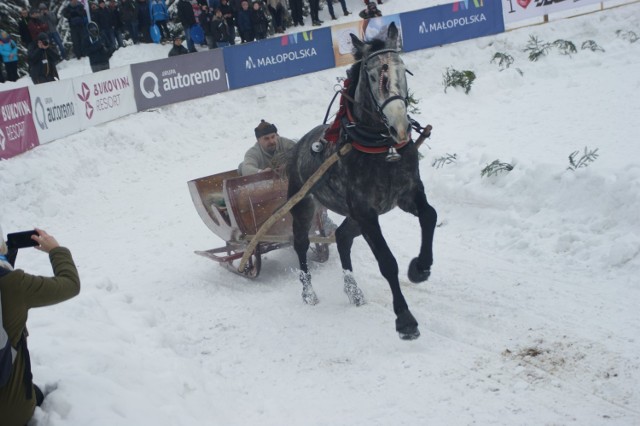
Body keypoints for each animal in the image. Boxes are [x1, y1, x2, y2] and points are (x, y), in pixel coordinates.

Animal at [288, 23, 438, 342]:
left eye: (403, 69)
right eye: (372, 76)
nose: (400, 125)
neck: (380, 147)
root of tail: (295, 146)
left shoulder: (406, 194)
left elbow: (430, 215)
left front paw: (420, 268)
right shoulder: (367, 213)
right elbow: (387, 262)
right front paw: (405, 320)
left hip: (354, 216)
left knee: (342, 237)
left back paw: (353, 291)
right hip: (303, 205)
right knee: (301, 244)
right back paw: (308, 292)